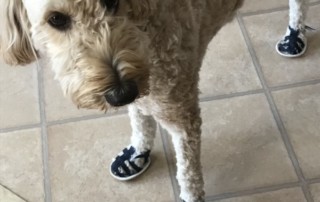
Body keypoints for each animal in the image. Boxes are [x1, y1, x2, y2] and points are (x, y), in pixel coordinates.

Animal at [0, 0, 308, 201]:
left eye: (111, 0)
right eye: (56, 19)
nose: (121, 93)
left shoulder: (181, 113)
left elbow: (188, 173)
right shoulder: (144, 89)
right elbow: (140, 120)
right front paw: (137, 153)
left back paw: (295, 33)